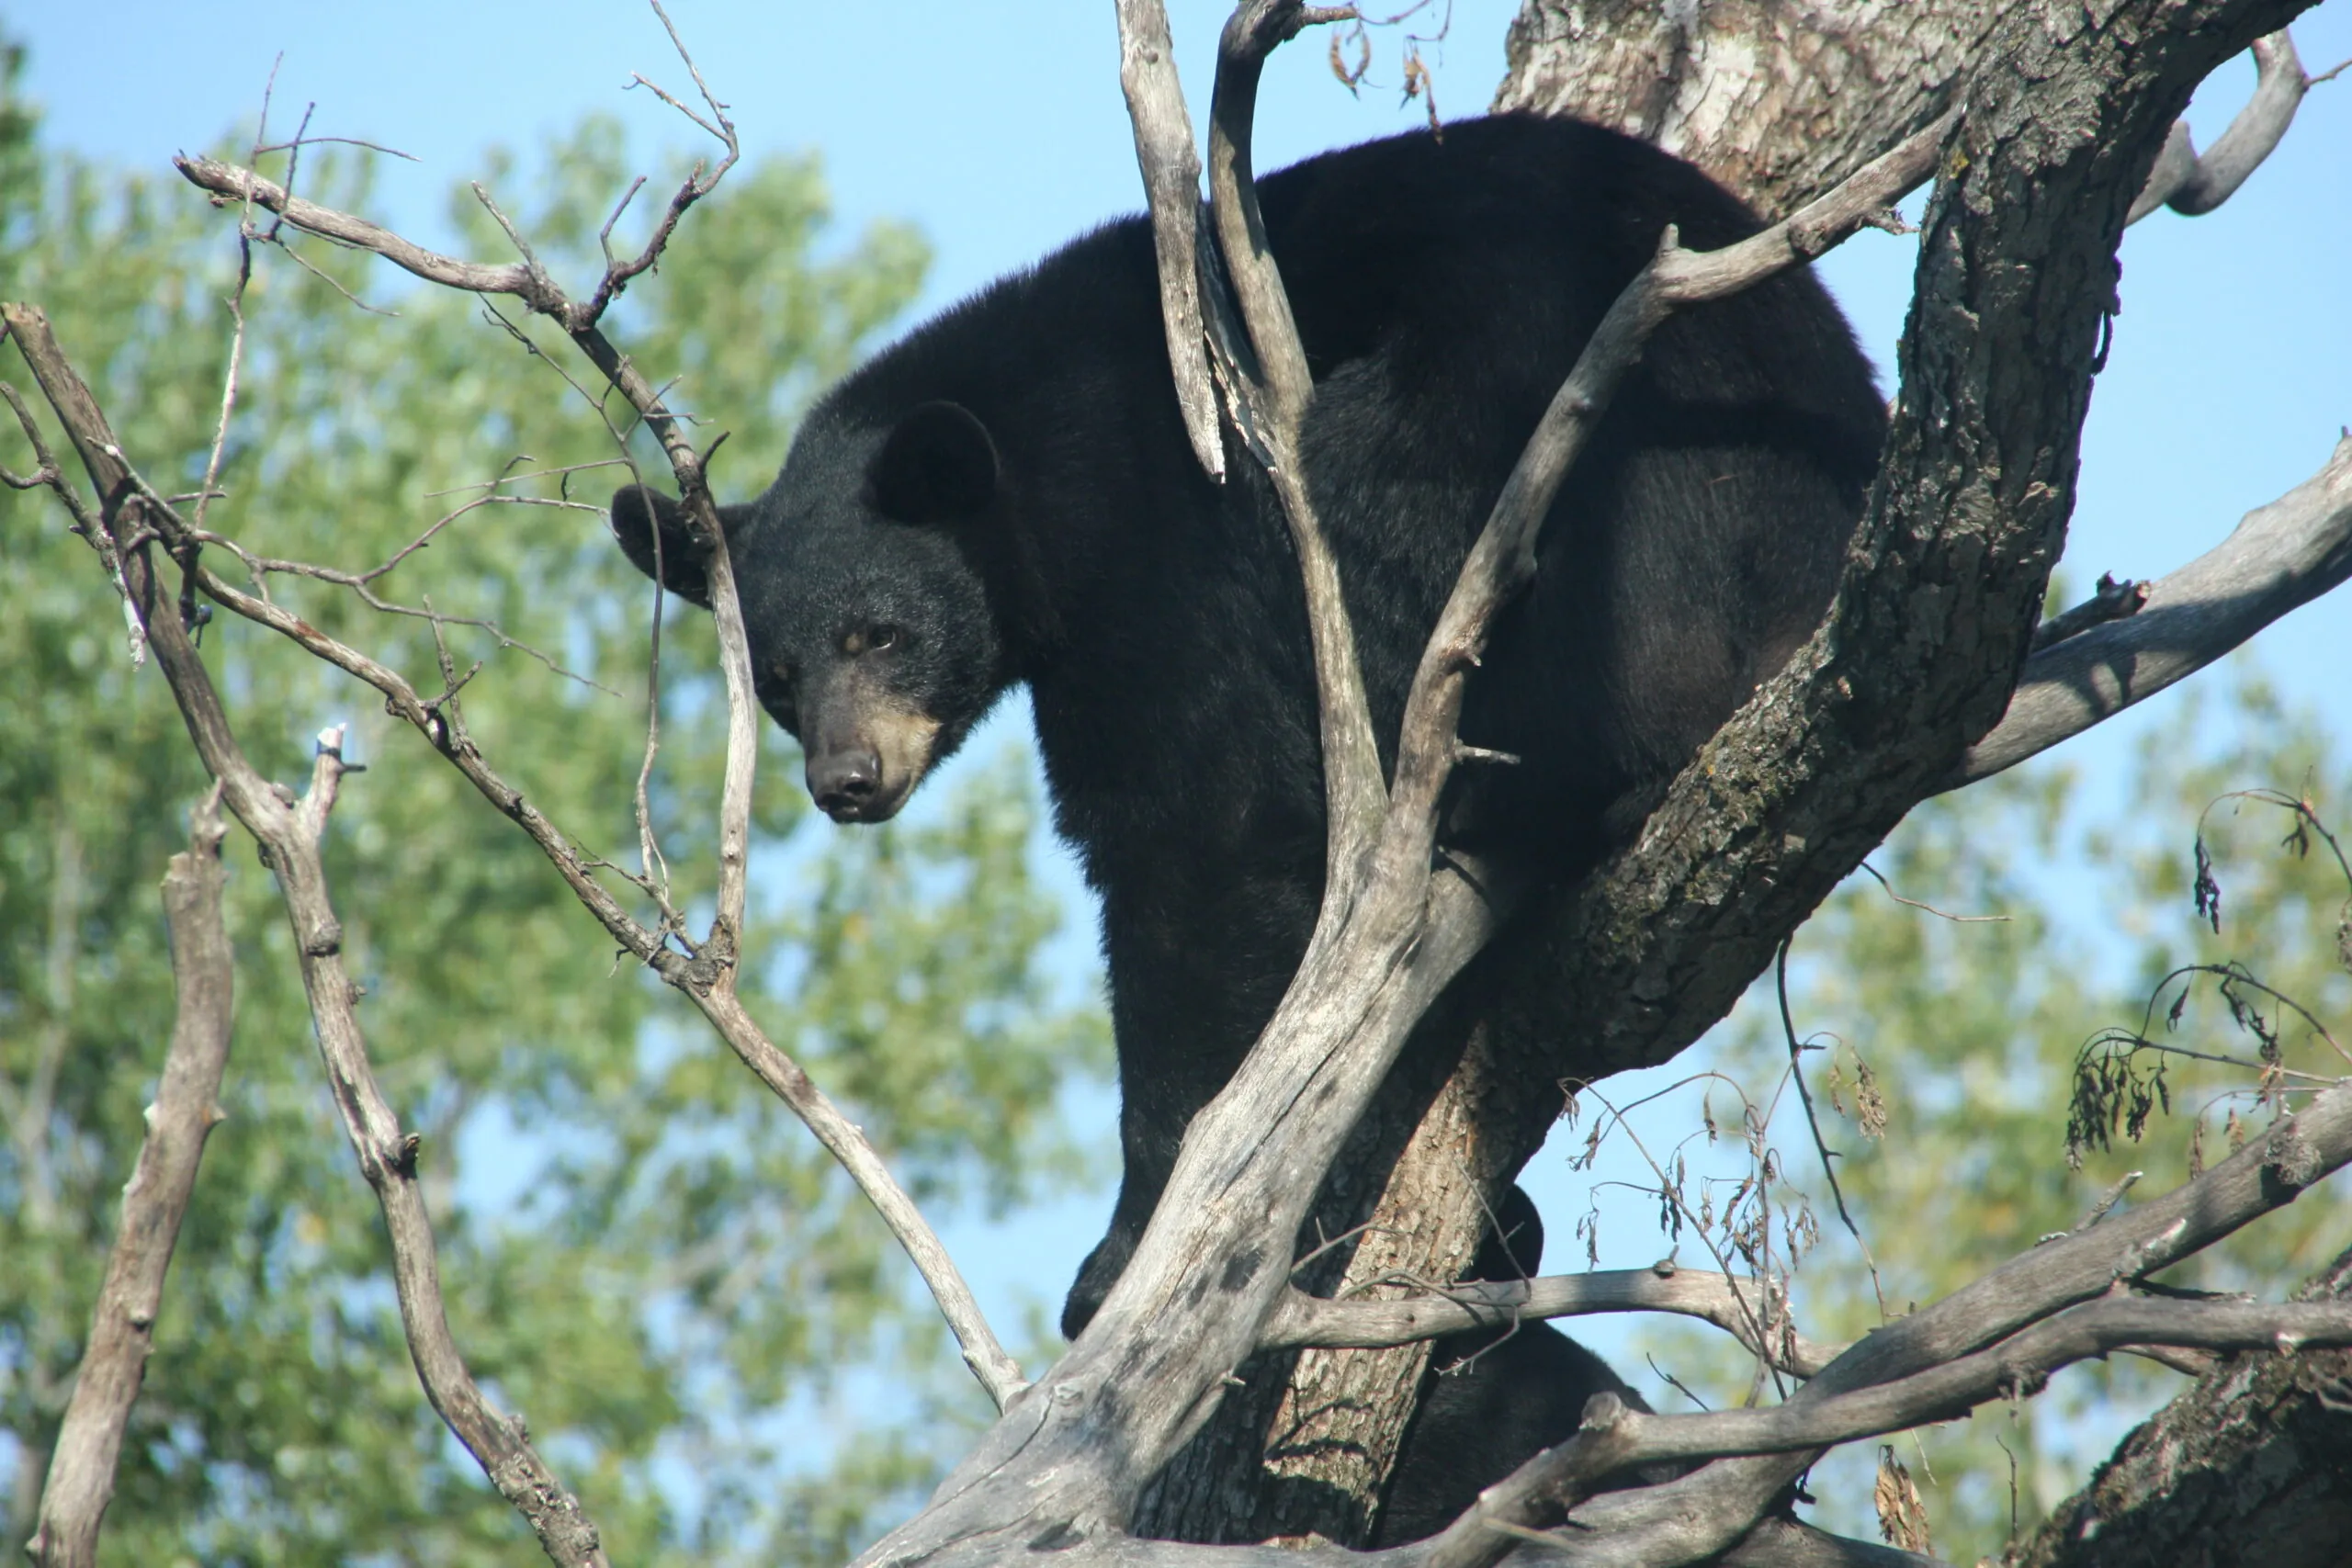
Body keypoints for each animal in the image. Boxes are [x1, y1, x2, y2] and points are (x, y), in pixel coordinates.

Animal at [616, 119, 1882, 1532]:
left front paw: (1121, 1255)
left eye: (876, 634)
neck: (1050, 473)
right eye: (776, 675)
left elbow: (1203, 843)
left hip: (1582, 477)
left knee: (1385, 507)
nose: (846, 775)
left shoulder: (1167, 555)